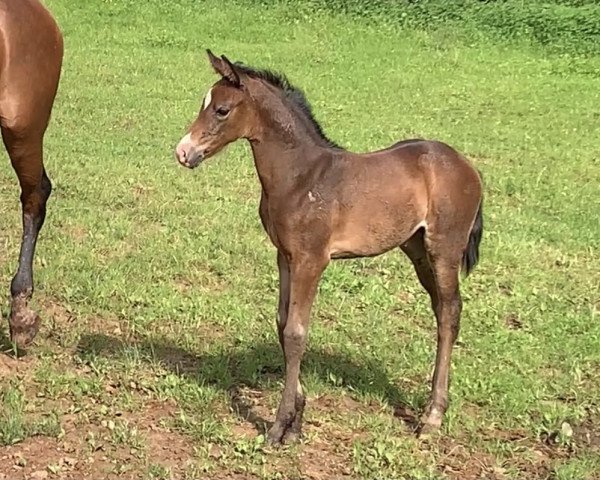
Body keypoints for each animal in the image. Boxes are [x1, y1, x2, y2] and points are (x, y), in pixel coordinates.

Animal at [176, 50, 486, 444]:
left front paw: (278, 426)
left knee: (450, 312)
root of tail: (467, 166)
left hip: (444, 248)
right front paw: (296, 420)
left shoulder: (312, 260)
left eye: (221, 110)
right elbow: (283, 323)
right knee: (440, 309)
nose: (183, 151)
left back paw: (432, 417)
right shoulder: (285, 256)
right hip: (416, 249)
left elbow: (296, 333)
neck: (301, 177)